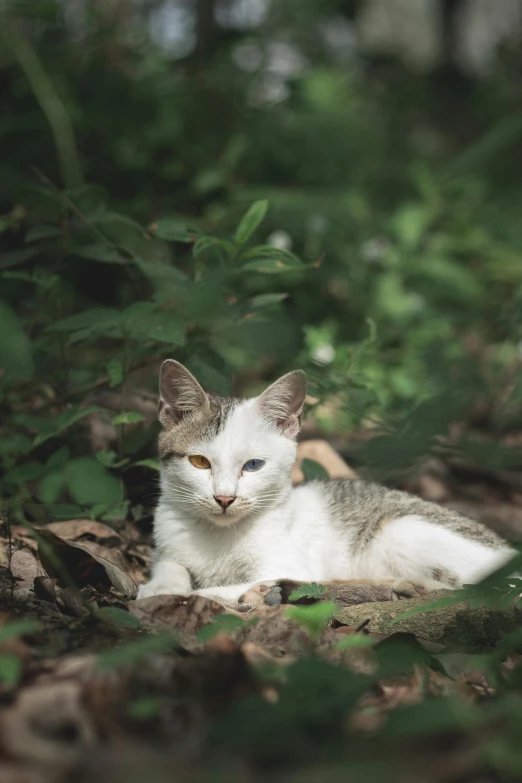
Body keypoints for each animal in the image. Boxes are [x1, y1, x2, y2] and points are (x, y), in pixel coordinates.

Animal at [136, 362, 512, 612]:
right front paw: (162, 585)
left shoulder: (287, 560)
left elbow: (220, 588)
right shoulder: (166, 542)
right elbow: (171, 565)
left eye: (253, 465)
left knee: (463, 588)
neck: (219, 536)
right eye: (200, 462)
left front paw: (188, 595)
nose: (224, 498)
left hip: (402, 530)